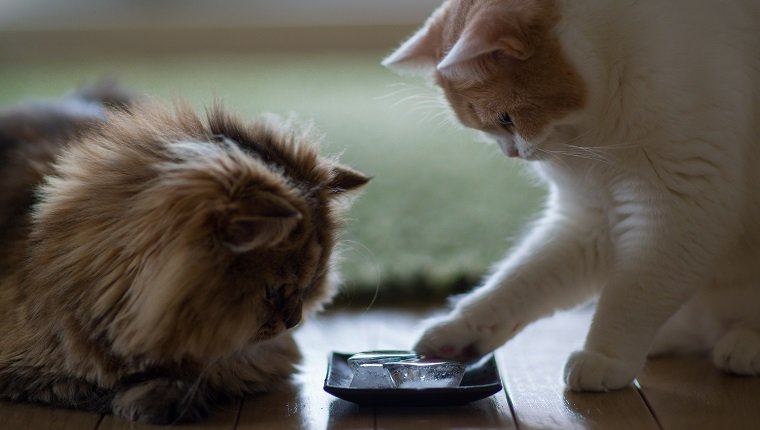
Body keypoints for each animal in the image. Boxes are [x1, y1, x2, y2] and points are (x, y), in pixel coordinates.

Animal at [0, 84, 370, 424]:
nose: (294, 321)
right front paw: (158, 398)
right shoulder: (25, 371)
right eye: (274, 291)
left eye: (308, 290)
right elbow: (89, 385)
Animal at [386, 0, 760, 390]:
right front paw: (457, 331)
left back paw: (744, 344)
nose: (511, 154)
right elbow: (516, 284)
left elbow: (631, 296)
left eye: (506, 119)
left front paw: (604, 358)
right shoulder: (587, 222)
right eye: (487, 128)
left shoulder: (677, 211)